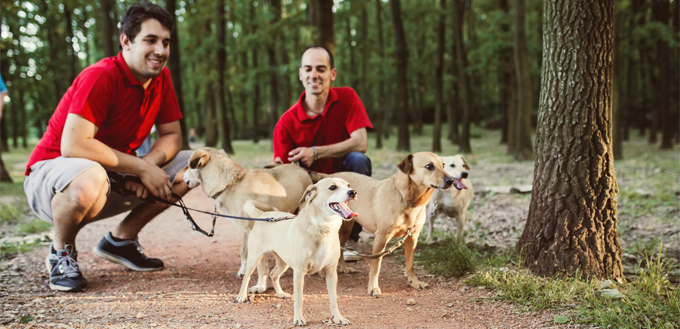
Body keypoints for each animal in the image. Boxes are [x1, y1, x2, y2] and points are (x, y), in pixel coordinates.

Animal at [182, 147, 312, 292]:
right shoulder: (246, 231)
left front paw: (260, 286)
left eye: (188, 166)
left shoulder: (256, 232)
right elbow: (244, 252)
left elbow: (261, 266)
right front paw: (243, 271)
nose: (181, 177)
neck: (231, 184)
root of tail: (301, 169)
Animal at [238, 177, 358, 326]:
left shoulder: (331, 272)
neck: (322, 229)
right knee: (247, 277)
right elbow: (299, 299)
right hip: (255, 258)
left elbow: (333, 299)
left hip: (283, 263)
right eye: (332, 187)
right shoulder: (299, 272)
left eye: (348, 185)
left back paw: (280, 294)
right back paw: (241, 296)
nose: (353, 192)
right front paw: (298, 318)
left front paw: (338, 318)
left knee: (273, 274)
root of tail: (264, 214)